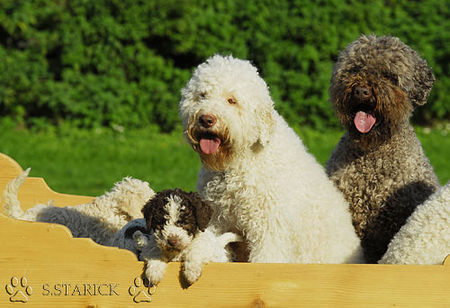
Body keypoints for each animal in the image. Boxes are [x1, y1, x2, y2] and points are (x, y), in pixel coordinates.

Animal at [178, 56, 364, 284]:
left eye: (232, 100)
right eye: (202, 95)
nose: (206, 119)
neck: (239, 162)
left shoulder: (269, 231)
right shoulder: (217, 217)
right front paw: (193, 264)